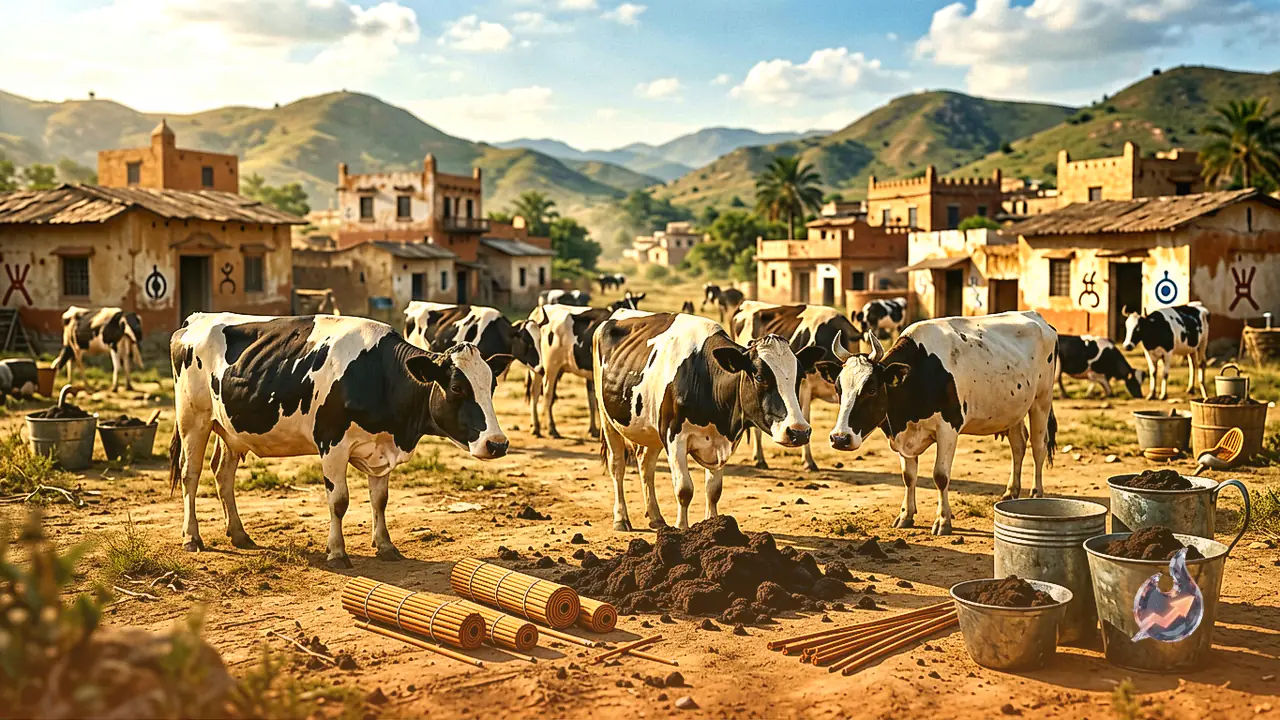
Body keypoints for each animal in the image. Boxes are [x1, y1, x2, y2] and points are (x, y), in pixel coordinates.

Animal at [168, 313, 512, 568]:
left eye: (491, 385)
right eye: (457, 387)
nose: (497, 443)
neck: (381, 375)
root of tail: (195, 320)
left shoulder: (380, 448)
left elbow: (380, 499)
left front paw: (385, 546)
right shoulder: (332, 444)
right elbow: (339, 500)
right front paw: (336, 552)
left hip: (230, 430)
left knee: (222, 473)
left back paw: (239, 534)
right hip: (193, 419)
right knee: (190, 474)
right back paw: (192, 537)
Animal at [525, 303, 611, 438]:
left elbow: (593, 401)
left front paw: (594, 430)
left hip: (539, 369)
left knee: (535, 392)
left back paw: (536, 428)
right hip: (551, 366)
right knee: (547, 394)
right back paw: (551, 428)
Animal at [594, 312, 824, 530]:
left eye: (799, 377)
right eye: (759, 377)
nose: (799, 431)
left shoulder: (720, 442)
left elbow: (714, 490)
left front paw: (715, 528)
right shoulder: (674, 437)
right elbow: (684, 489)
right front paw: (682, 529)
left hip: (652, 429)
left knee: (646, 465)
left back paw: (656, 518)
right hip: (607, 418)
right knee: (617, 466)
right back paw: (621, 519)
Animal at [824, 311, 1058, 535]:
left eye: (871, 389)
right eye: (838, 388)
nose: (840, 438)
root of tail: (1037, 317)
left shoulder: (948, 430)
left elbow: (940, 476)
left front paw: (943, 520)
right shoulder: (904, 436)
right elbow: (908, 477)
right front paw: (906, 516)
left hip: (1041, 401)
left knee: (1038, 447)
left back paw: (1036, 494)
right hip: (1014, 410)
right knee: (1018, 446)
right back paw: (1011, 492)